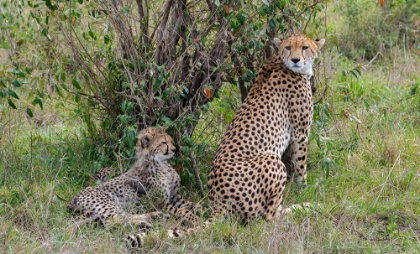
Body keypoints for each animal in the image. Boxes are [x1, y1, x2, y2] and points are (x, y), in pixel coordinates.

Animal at [67, 127, 200, 228]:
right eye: (164, 143)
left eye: (171, 141)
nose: (174, 149)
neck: (161, 163)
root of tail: (74, 197)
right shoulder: (160, 202)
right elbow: (182, 210)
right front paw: (194, 218)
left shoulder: (175, 197)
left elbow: (192, 204)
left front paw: (201, 208)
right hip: (106, 203)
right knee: (114, 220)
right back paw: (145, 222)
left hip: (116, 205)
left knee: (123, 216)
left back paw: (153, 216)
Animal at [207, 34, 324, 222]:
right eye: (288, 47)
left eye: (305, 47)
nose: (295, 60)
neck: (279, 62)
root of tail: (218, 203)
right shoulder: (301, 132)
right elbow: (301, 164)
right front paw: (303, 189)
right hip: (271, 159)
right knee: (270, 216)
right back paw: (304, 207)